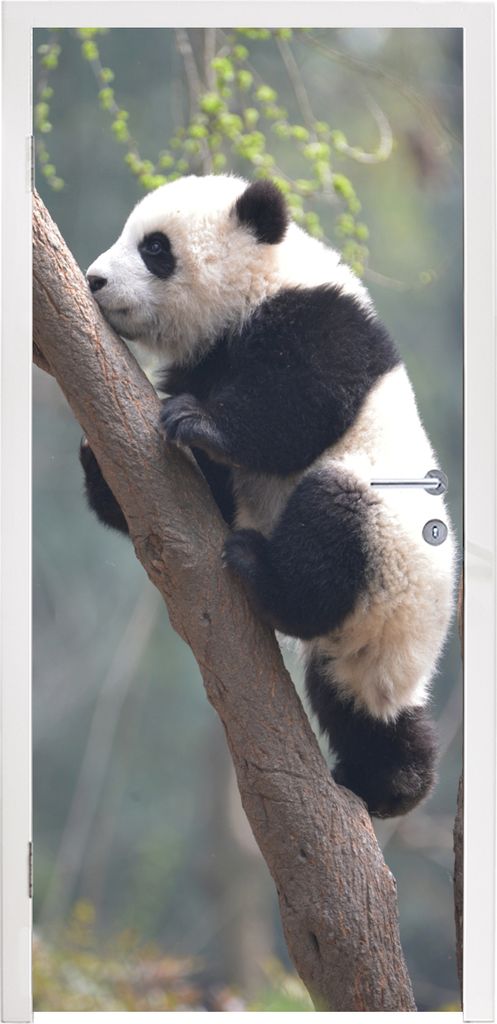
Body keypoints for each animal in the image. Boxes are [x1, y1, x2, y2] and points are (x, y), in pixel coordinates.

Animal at [82, 173, 456, 818]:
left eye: (155, 249)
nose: (93, 280)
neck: (261, 280)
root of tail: (409, 632)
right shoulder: (208, 359)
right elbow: (205, 489)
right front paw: (97, 462)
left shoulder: (321, 321)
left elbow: (299, 405)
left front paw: (199, 421)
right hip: (365, 649)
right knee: (357, 701)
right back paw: (393, 780)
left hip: (391, 544)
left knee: (332, 518)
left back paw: (262, 570)